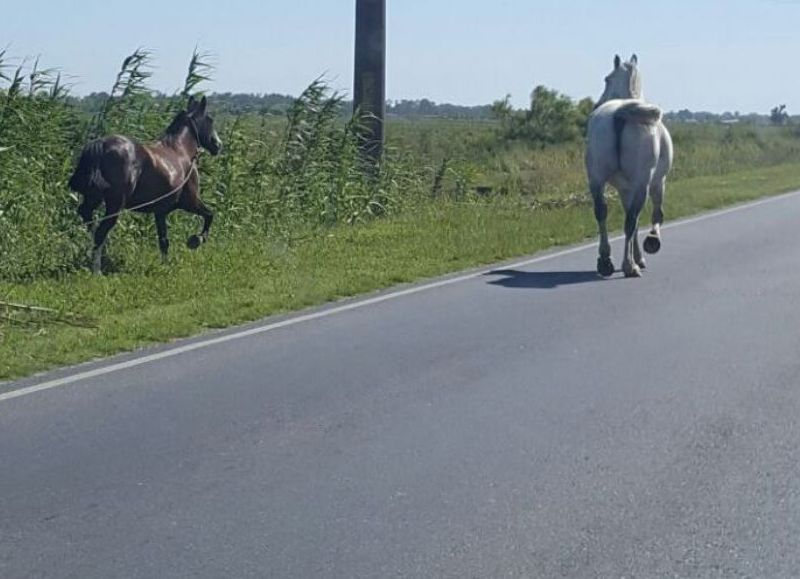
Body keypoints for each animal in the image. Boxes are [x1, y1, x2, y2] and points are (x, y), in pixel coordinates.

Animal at [69, 95, 222, 274]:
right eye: (210, 119)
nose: (218, 145)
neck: (181, 152)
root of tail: (101, 145)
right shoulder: (190, 202)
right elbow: (210, 215)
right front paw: (196, 240)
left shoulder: (160, 211)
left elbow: (164, 241)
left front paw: (165, 265)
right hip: (115, 205)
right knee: (100, 232)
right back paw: (97, 270)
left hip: (94, 198)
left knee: (88, 220)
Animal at [584, 54, 672, 278]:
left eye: (606, 79)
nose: (596, 103)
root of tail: (620, 112)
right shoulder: (657, 183)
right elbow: (654, 215)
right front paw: (651, 243)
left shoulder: (625, 189)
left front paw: (639, 256)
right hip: (643, 183)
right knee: (631, 220)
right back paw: (629, 266)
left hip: (596, 180)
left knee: (601, 212)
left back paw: (605, 261)